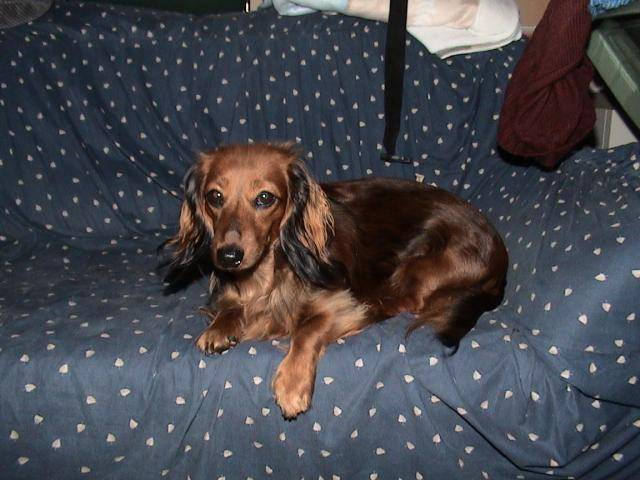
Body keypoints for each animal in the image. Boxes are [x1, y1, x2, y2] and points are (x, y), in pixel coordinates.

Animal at [165, 143, 508, 419]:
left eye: (264, 198)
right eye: (215, 197)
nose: (228, 256)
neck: (270, 272)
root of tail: (501, 255)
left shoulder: (339, 301)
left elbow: (307, 328)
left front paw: (292, 383)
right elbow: (232, 307)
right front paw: (220, 327)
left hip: (419, 265)